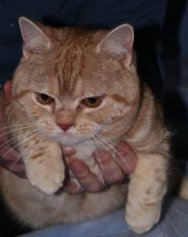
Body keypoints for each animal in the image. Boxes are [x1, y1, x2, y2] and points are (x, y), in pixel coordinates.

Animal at [1, 16, 172, 233]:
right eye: (44, 98)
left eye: (93, 101)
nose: (64, 124)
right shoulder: (12, 109)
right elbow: (30, 130)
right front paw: (45, 170)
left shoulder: (155, 133)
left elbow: (154, 172)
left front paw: (141, 218)